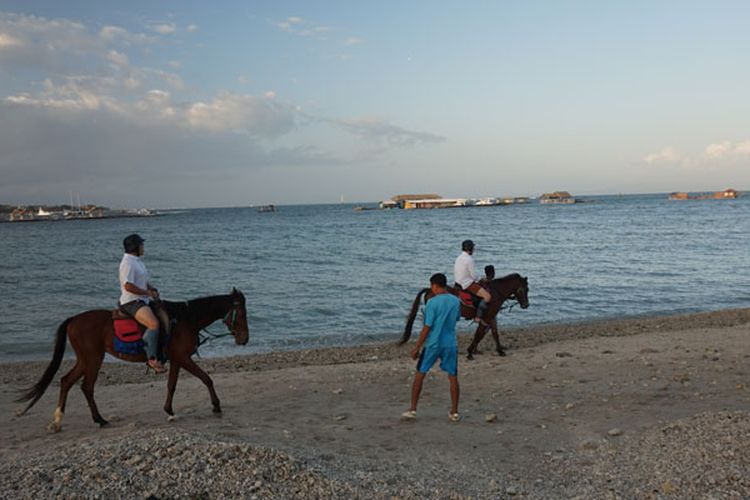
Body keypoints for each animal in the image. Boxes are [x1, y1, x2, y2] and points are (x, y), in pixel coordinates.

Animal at [15, 288, 250, 432]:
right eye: (242, 314)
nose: (245, 339)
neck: (185, 320)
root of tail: (74, 320)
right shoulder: (183, 358)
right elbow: (206, 378)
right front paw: (216, 405)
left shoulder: (176, 359)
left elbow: (172, 385)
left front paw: (169, 411)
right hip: (93, 358)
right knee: (86, 386)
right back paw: (98, 419)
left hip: (86, 359)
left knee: (66, 381)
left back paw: (59, 420)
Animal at [400, 274, 528, 360]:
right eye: (523, 289)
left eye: (528, 289)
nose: (526, 305)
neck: (496, 292)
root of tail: (430, 289)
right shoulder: (487, 317)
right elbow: (479, 334)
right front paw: (470, 352)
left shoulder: (491, 317)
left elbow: (494, 333)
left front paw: (500, 351)